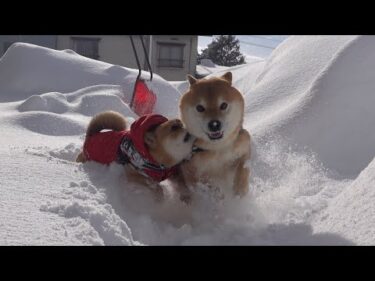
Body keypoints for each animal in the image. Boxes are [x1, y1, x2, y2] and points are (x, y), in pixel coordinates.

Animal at [173, 71, 250, 200]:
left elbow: (243, 167)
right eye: (200, 108)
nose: (214, 125)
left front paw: (240, 188)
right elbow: (207, 185)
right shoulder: (191, 174)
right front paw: (219, 195)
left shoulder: (243, 148)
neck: (217, 148)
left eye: (223, 105)